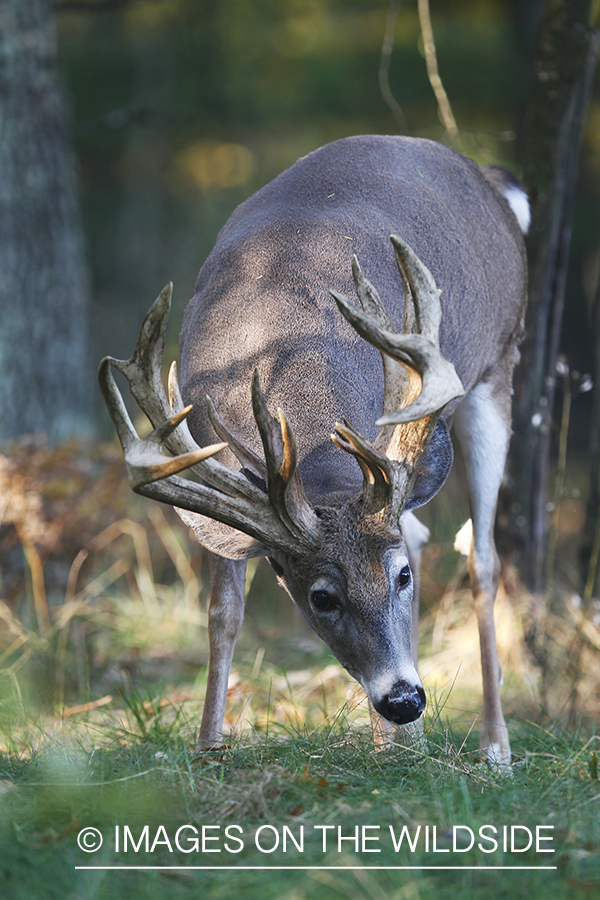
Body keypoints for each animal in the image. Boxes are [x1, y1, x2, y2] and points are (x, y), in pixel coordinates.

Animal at [99, 135, 528, 768]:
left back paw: (494, 744)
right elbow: (223, 612)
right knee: (427, 531)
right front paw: (208, 747)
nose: (404, 699)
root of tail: (489, 179)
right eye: (321, 597)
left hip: (497, 366)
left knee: (482, 557)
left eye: (400, 577)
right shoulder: (211, 465)